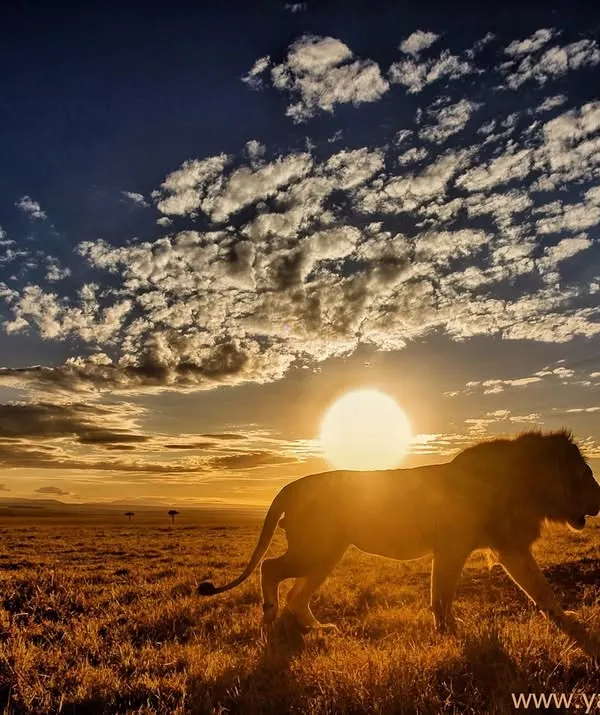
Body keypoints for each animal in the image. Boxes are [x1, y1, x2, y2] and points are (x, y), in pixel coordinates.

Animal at [198, 430, 600, 638]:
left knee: (297, 595)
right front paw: (450, 631)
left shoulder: (509, 545)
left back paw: (319, 628)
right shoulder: (453, 546)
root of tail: (292, 485)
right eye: (585, 474)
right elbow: (443, 592)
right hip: (316, 549)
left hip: (327, 553)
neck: (527, 489)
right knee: (269, 568)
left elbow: (541, 588)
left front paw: (568, 621)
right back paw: (269, 617)